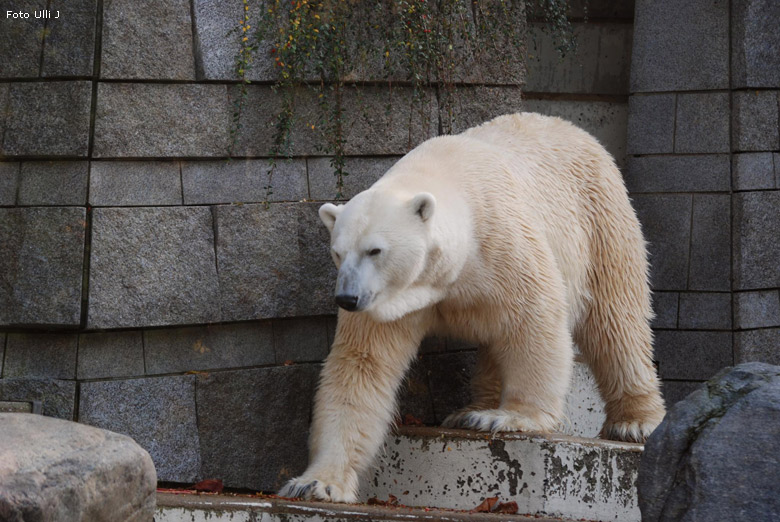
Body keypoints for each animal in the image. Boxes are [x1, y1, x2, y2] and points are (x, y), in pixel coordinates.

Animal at [278, 112, 664, 500]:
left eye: (375, 250)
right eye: (338, 252)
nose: (347, 298)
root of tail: (576, 130)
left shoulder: (502, 244)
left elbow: (535, 318)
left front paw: (513, 417)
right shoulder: (390, 301)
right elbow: (362, 363)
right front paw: (315, 483)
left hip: (600, 221)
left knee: (616, 319)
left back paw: (634, 421)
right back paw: (472, 409)